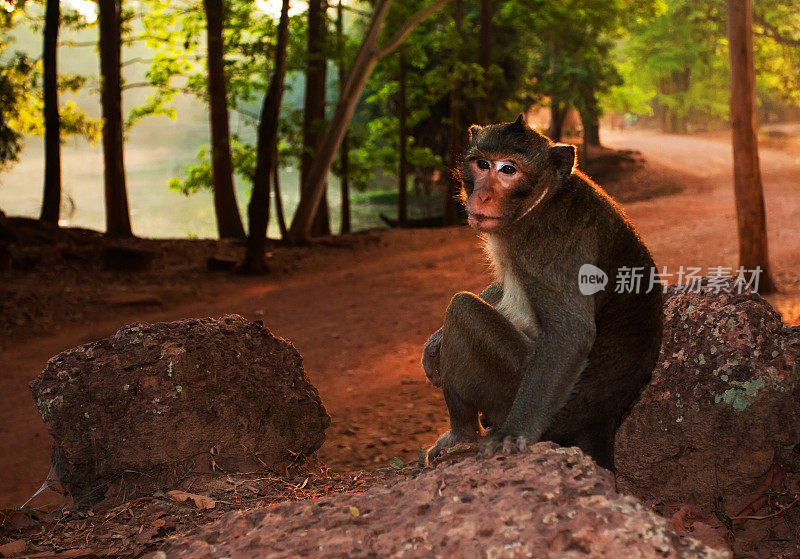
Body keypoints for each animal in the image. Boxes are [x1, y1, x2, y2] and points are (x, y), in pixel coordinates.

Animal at [424, 116, 664, 470]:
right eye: (482, 164)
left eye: (509, 169)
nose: (482, 197)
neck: (544, 199)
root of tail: (600, 422)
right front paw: (435, 341)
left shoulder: (555, 244)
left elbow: (570, 333)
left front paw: (514, 433)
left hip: (514, 389)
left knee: (462, 309)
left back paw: (462, 433)